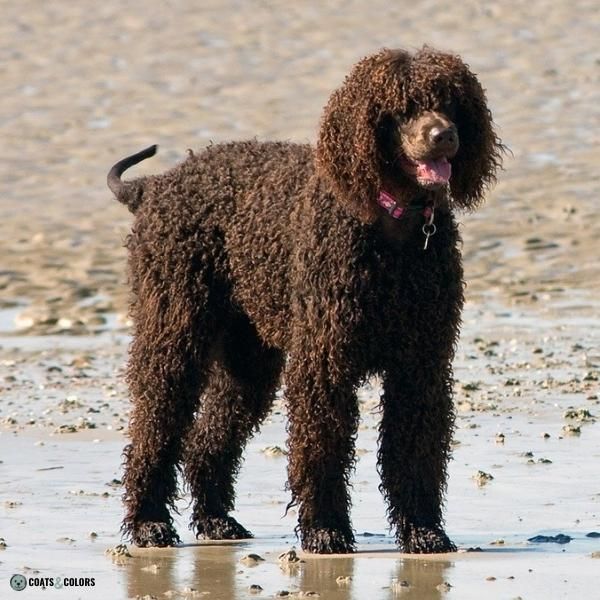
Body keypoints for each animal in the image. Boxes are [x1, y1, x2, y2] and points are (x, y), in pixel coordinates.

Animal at [106, 45, 502, 552]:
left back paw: (216, 518)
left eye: (451, 102)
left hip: (248, 360)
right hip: (174, 331)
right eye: (401, 108)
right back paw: (147, 522)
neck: (391, 229)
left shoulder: (421, 365)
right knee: (155, 425)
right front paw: (324, 528)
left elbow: (415, 451)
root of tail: (154, 186)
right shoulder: (324, 363)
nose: (444, 135)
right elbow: (322, 447)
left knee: (208, 438)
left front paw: (422, 529)